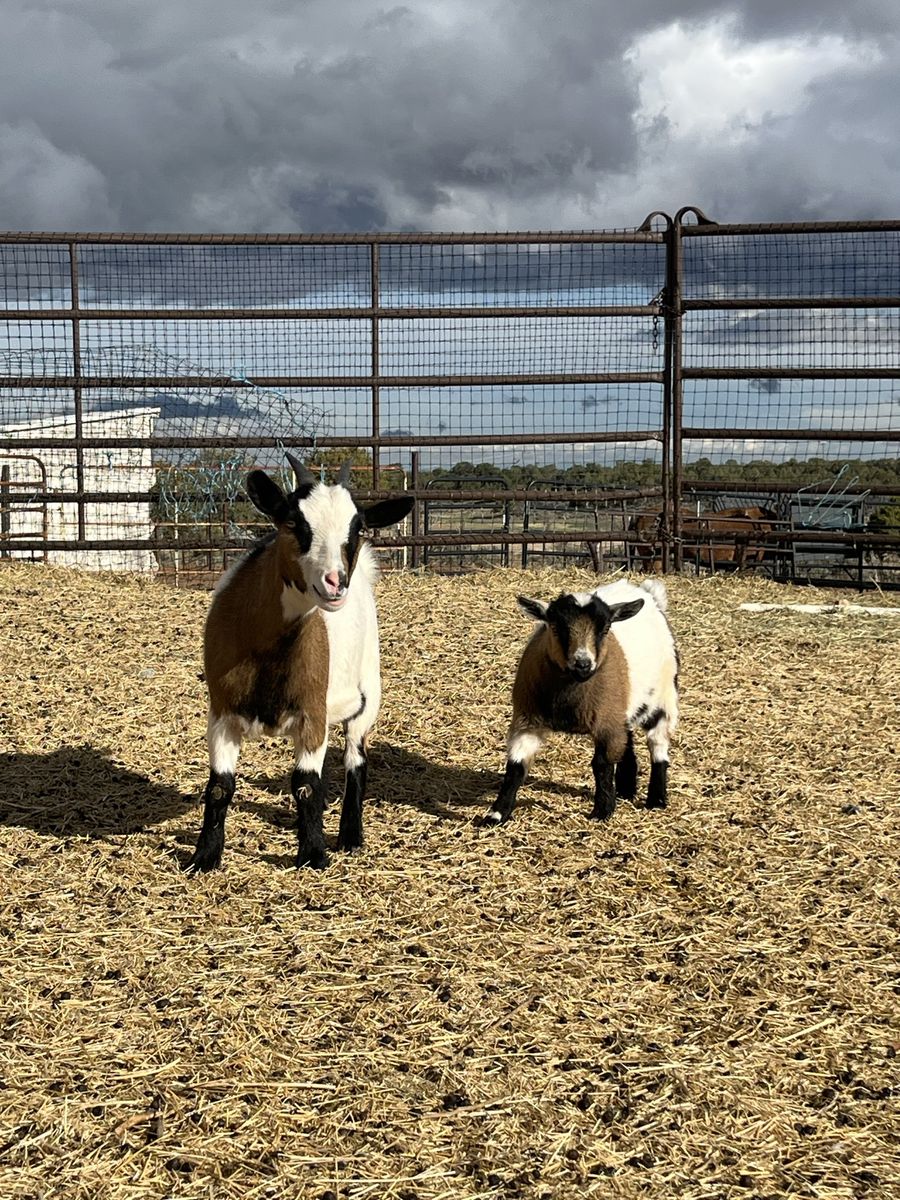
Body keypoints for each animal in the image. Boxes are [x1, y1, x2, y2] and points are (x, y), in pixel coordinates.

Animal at [187, 454, 413, 872]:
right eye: (294, 523)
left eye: (357, 529)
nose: (335, 582)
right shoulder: (221, 711)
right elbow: (219, 787)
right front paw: (204, 857)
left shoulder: (313, 713)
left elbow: (307, 785)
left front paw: (313, 854)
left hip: (368, 695)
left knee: (356, 761)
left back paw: (350, 837)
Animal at [485, 579, 679, 825]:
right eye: (555, 627)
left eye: (605, 629)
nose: (583, 664)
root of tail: (649, 594)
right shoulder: (527, 720)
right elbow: (515, 767)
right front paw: (496, 814)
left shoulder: (606, 723)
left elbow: (602, 765)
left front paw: (602, 811)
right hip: (623, 708)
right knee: (627, 738)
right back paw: (626, 789)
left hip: (663, 697)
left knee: (658, 744)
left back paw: (656, 799)